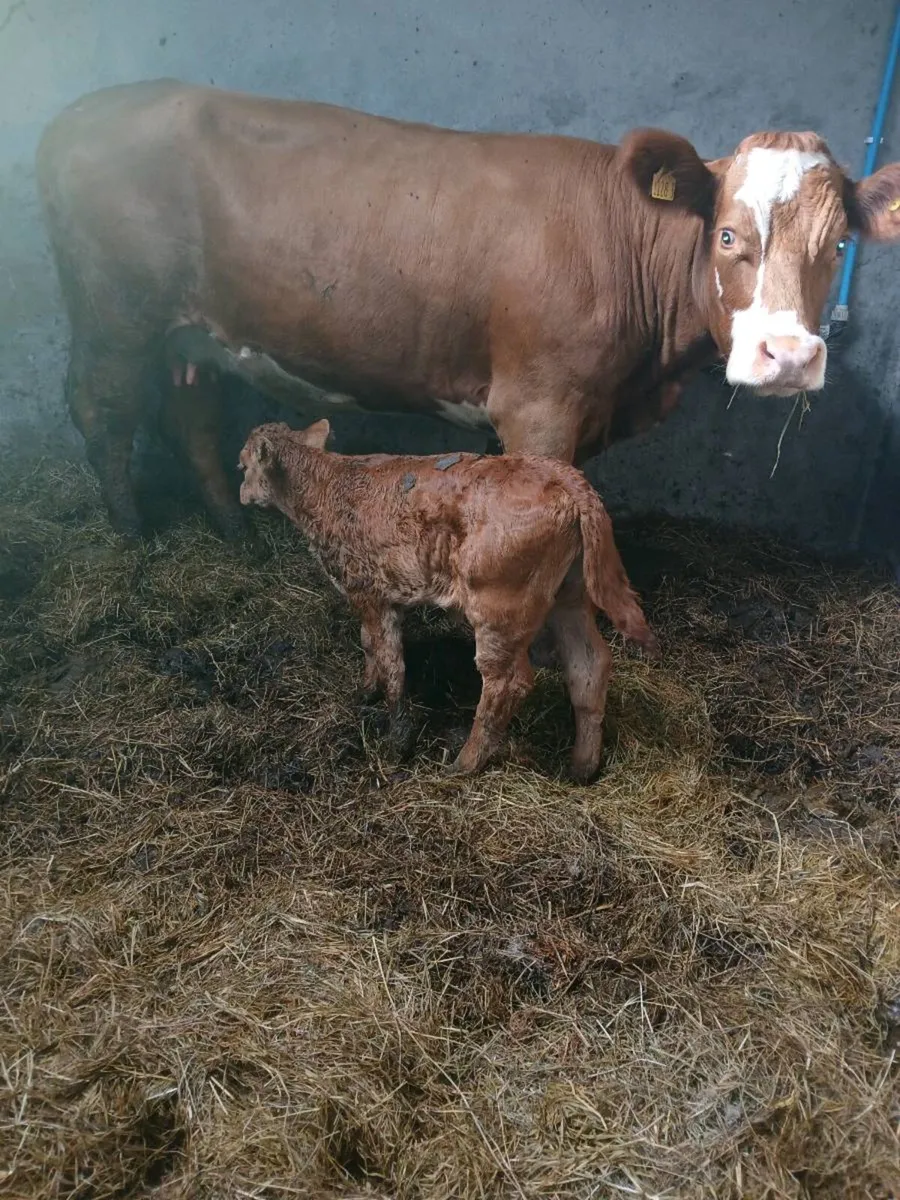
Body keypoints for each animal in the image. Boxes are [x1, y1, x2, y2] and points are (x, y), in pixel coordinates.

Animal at [36, 79, 900, 540]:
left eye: (837, 245)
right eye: (726, 234)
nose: (789, 357)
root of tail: (81, 111)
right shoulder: (540, 405)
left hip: (193, 329)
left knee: (190, 414)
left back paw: (233, 529)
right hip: (112, 315)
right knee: (102, 409)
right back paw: (132, 531)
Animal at [238, 419, 657, 779]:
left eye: (242, 464)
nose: (241, 492)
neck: (326, 485)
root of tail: (565, 478)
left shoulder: (368, 591)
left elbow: (391, 661)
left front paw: (398, 740)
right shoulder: (373, 595)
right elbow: (368, 643)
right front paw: (366, 690)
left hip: (499, 604)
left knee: (508, 681)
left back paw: (464, 763)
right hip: (570, 597)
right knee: (589, 665)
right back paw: (582, 767)